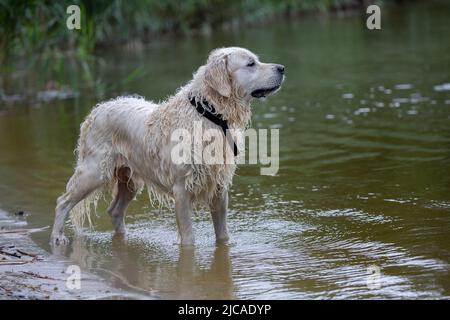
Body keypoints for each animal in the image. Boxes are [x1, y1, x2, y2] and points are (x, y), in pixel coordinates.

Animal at [50, 47, 284, 245]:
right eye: (251, 64)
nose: (282, 68)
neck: (208, 114)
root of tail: (96, 110)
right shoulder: (181, 189)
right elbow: (188, 237)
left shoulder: (218, 188)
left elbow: (222, 234)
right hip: (94, 171)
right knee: (63, 201)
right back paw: (57, 237)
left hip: (130, 179)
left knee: (114, 210)